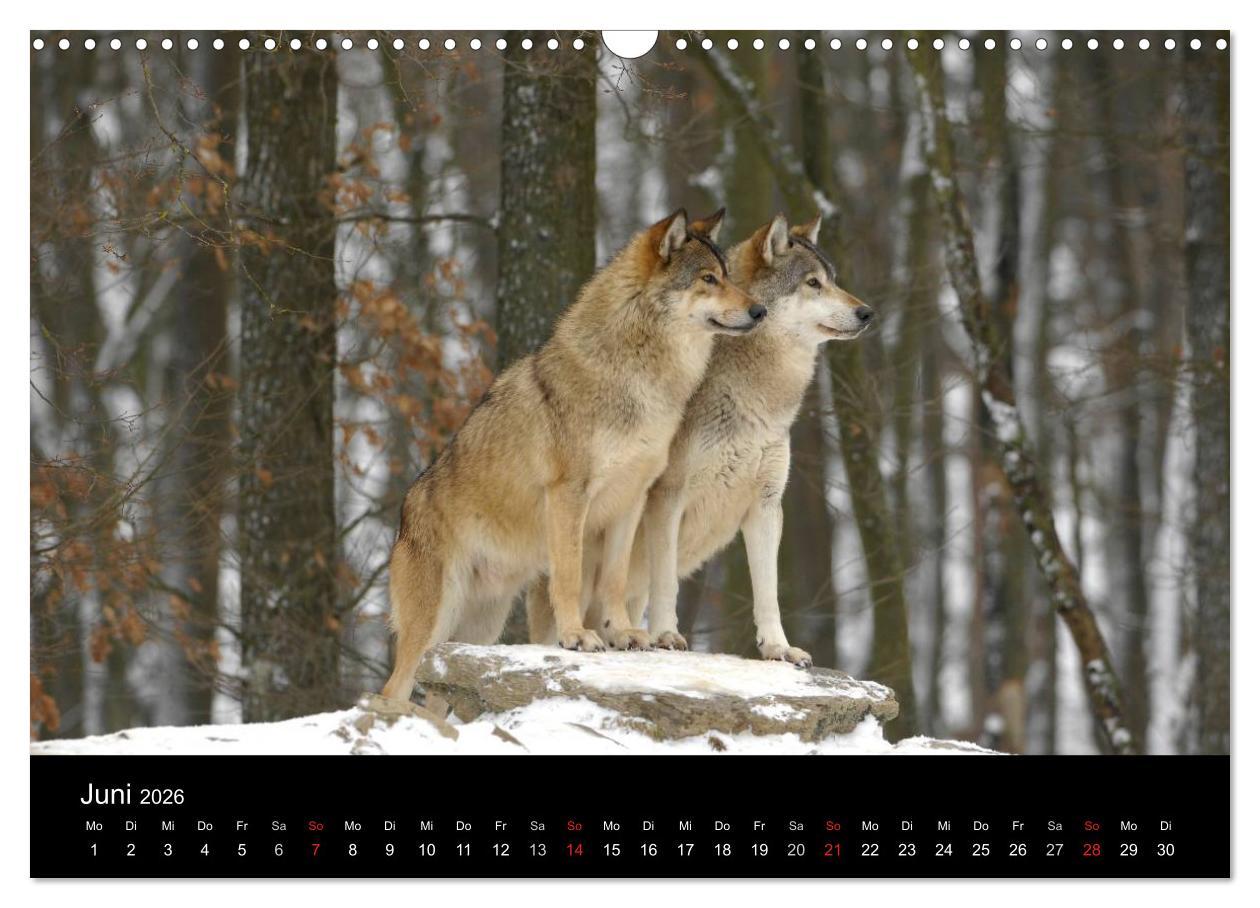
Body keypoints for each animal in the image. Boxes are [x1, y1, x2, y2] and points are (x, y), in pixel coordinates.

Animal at [381, 209, 761, 702]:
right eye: (708, 278)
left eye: (729, 275)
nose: (760, 310)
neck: (643, 379)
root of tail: (404, 512)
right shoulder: (568, 495)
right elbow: (569, 576)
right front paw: (576, 636)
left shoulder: (631, 499)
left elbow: (613, 579)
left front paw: (623, 633)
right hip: (433, 626)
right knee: (390, 692)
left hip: (475, 633)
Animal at [527, 214, 873, 666]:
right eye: (813, 283)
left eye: (833, 280)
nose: (867, 313)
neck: (757, 401)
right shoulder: (666, 497)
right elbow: (666, 582)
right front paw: (666, 636)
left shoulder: (766, 505)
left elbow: (768, 593)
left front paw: (778, 648)